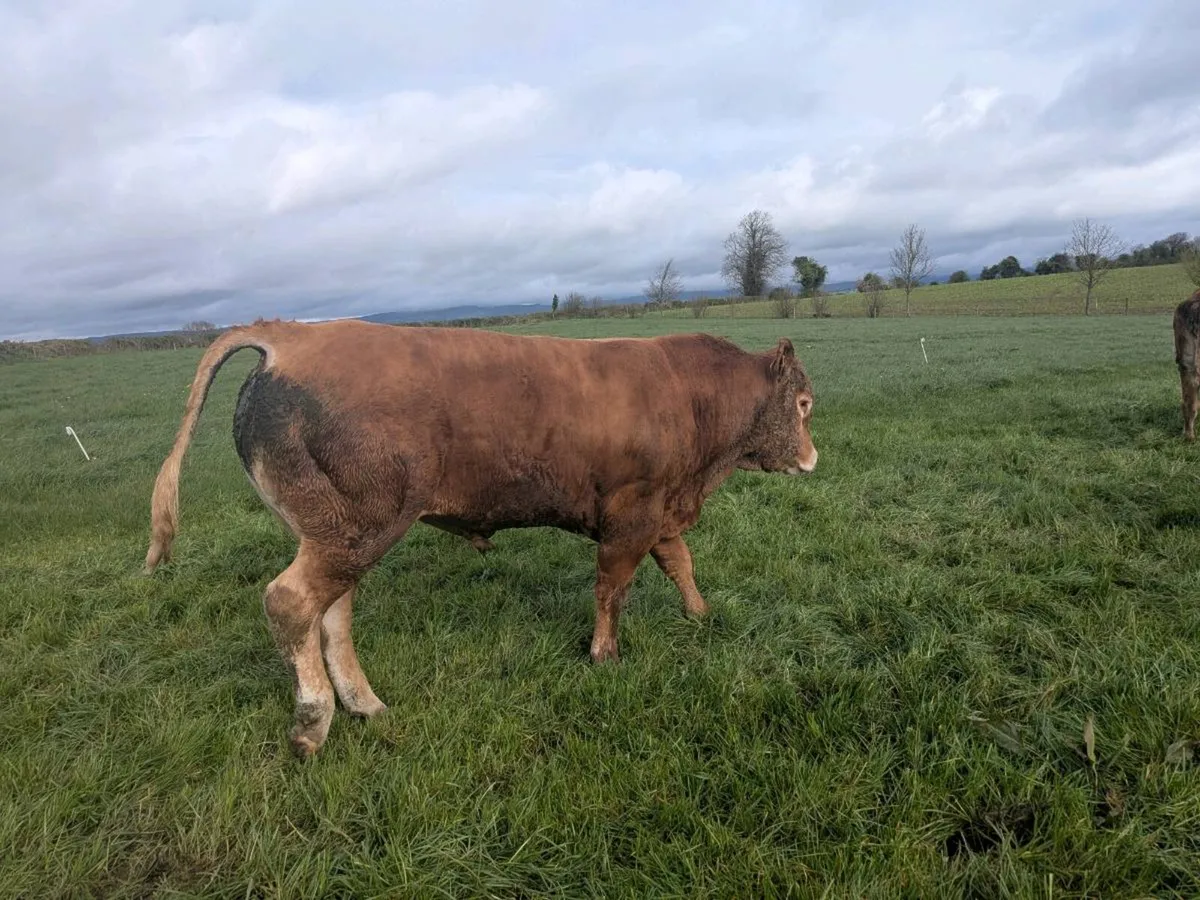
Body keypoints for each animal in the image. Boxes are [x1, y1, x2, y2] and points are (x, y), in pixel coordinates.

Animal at [144, 318, 818, 758]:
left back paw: (365, 705)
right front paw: (605, 655)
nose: (813, 458)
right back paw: (314, 722)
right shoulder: (632, 514)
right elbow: (613, 589)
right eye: (806, 402)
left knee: (330, 612)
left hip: (335, 533)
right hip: (358, 527)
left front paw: (701, 617)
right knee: (291, 602)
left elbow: (680, 563)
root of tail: (291, 335)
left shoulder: (658, 515)